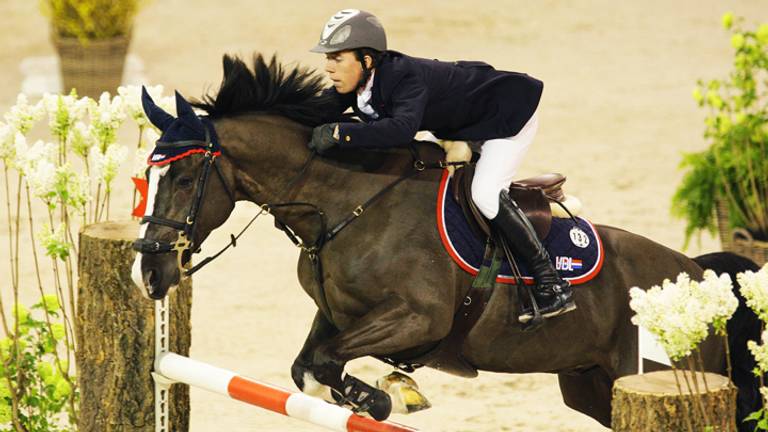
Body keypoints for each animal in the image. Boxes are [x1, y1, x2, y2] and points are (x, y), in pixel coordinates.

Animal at [132, 54, 760, 428]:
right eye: (149, 176)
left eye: (184, 179)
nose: (150, 275)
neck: (346, 203)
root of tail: (700, 278)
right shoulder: (335, 313)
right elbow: (307, 367)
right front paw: (381, 392)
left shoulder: (419, 317)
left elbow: (330, 362)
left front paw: (387, 396)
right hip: (592, 385)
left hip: (660, 372)